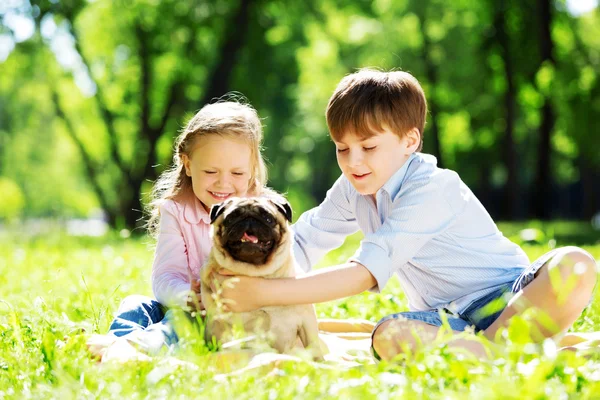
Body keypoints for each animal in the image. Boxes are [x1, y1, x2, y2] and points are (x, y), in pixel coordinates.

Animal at [200, 195, 324, 358]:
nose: (249, 219)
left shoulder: (307, 322)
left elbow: (315, 349)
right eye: (231, 217)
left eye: (267, 218)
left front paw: (320, 362)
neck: (256, 274)